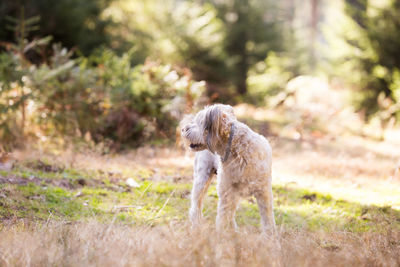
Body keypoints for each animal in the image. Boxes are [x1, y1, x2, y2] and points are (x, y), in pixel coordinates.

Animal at [180, 103, 276, 233]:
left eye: (199, 122)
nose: (183, 129)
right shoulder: (226, 192)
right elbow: (223, 217)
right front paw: (223, 236)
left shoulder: (263, 192)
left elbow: (268, 220)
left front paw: (271, 237)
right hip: (202, 179)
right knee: (196, 206)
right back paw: (197, 226)